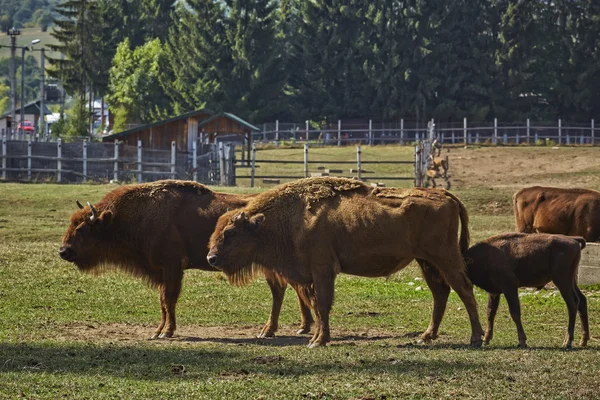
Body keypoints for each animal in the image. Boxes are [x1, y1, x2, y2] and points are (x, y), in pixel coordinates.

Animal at [59, 180, 314, 340]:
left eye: (82, 229)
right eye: (72, 223)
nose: (63, 251)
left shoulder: (172, 267)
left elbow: (168, 298)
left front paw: (166, 332)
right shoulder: (162, 270)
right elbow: (163, 301)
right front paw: (158, 330)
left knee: (280, 291)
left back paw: (269, 330)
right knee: (294, 288)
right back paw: (302, 327)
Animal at [206, 177, 482, 348]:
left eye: (230, 232)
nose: (212, 258)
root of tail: (446, 195)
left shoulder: (323, 271)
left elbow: (322, 305)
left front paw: (317, 341)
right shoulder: (312, 277)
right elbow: (318, 307)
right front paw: (317, 338)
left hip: (445, 258)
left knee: (464, 290)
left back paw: (476, 338)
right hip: (426, 262)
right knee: (441, 294)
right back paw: (426, 336)